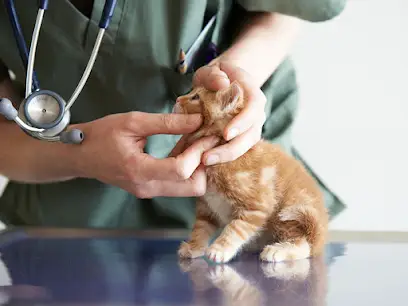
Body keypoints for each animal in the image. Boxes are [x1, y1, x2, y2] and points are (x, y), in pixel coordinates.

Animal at [174, 80, 330, 262]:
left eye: (196, 97)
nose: (178, 99)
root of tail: (320, 235)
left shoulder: (257, 205)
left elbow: (236, 228)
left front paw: (220, 249)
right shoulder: (206, 207)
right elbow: (200, 227)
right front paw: (194, 247)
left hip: (290, 212)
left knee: (304, 244)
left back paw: (279, 250)